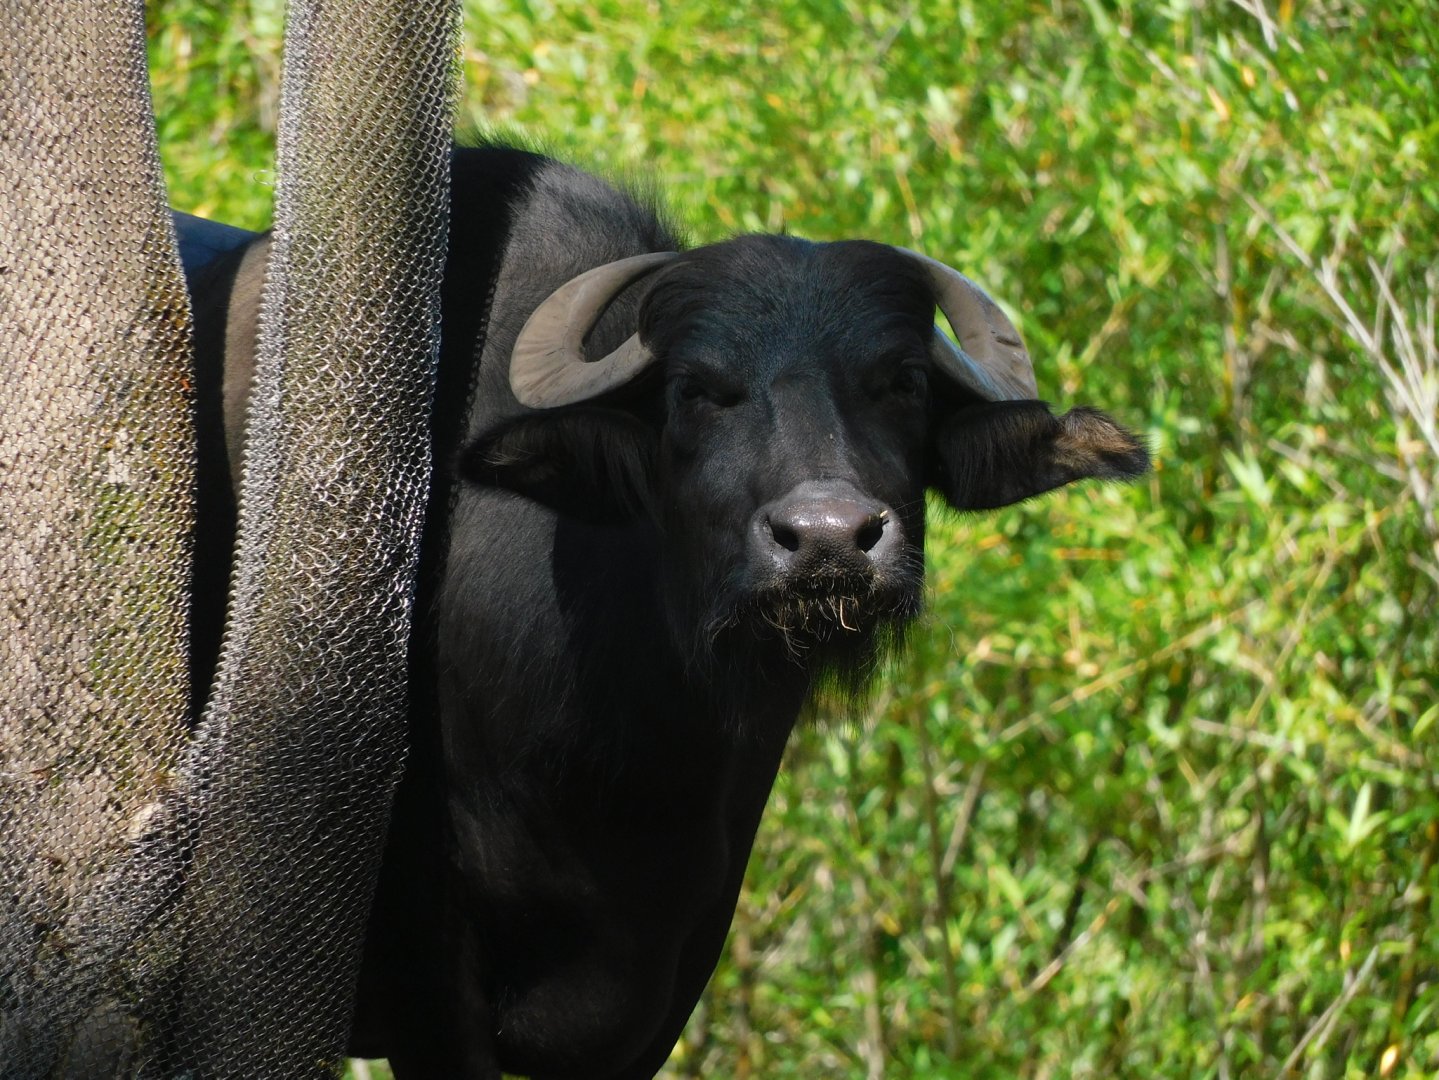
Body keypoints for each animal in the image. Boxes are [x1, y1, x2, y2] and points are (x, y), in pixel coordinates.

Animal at [181, 143, 1149, 1079]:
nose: (828, 539)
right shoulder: (431, 981)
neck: (627, 751)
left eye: (902, 381)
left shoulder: (672, 971)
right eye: (696, 389)